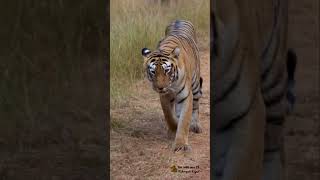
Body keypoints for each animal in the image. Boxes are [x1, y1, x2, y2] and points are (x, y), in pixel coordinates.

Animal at [141, 19, 201, 152]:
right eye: (153, 71)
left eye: (166, 70)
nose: (160, 87)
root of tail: (180, 19)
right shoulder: (164, 97)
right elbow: (169, 116)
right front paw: (173, 129)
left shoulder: (185, 96)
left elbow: (184, 120)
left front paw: (180, 145)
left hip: (195, 85)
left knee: (195, 105)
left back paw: (195, 125)